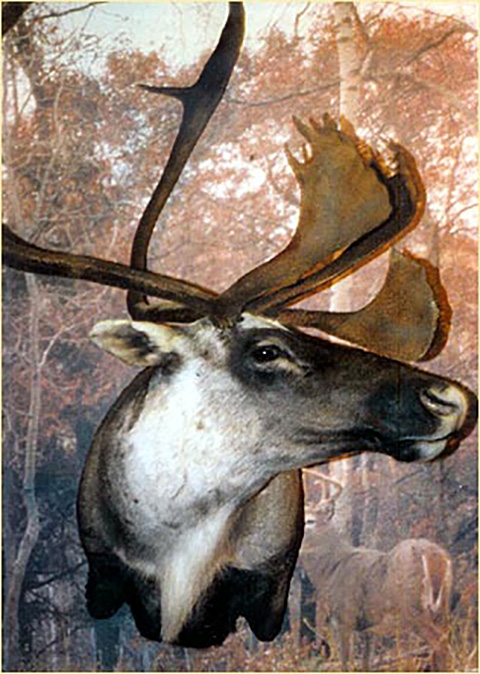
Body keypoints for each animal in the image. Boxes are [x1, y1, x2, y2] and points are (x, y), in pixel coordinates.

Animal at [301, 470, 454, 671]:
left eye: (309, 521)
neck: (329, 571)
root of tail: (433, 555)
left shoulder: (344, 617)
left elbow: (345, 663)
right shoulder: (369, 630)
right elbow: (366, 664)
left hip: (412, 608)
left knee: (440, 645)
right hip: (442, 606)